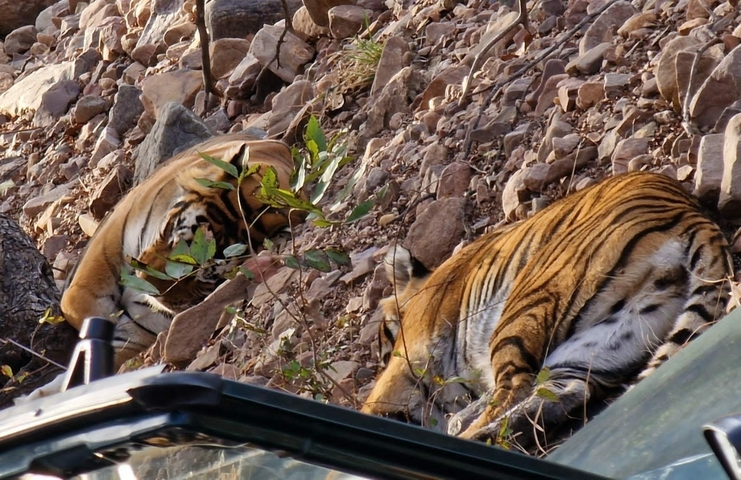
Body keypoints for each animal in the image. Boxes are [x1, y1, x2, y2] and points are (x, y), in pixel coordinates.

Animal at [361, 171, 733, 450]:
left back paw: (472, 438)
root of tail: (692, 212)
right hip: (607, 339)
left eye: (384, 339)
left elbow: (380, 402)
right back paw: (487, 434)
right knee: (565, 391)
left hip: (527, 305)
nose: (381, 354)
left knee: (515, 387)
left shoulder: (412, 358)